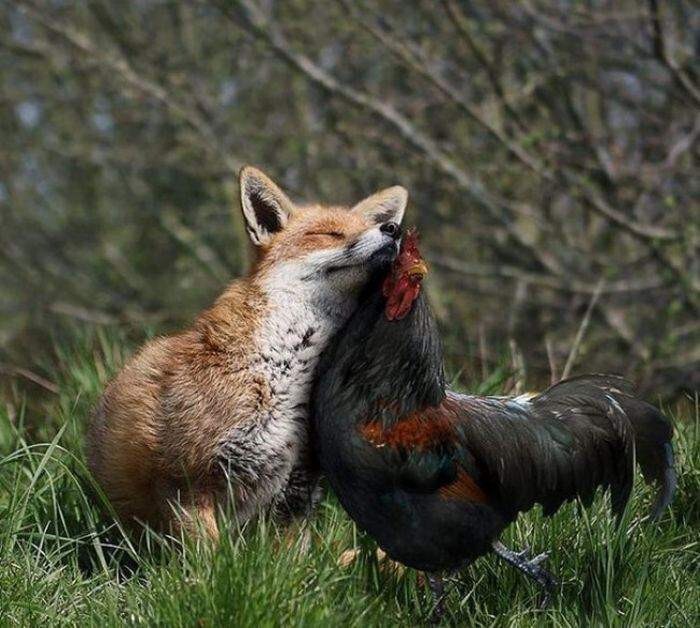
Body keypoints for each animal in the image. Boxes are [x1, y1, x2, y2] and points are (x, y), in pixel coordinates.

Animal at [87, 167, 408, 540]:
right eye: (329, 233)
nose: (394, 229)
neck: (282, 367)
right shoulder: (188, 484)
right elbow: (209, 557)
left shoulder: (296, 493)